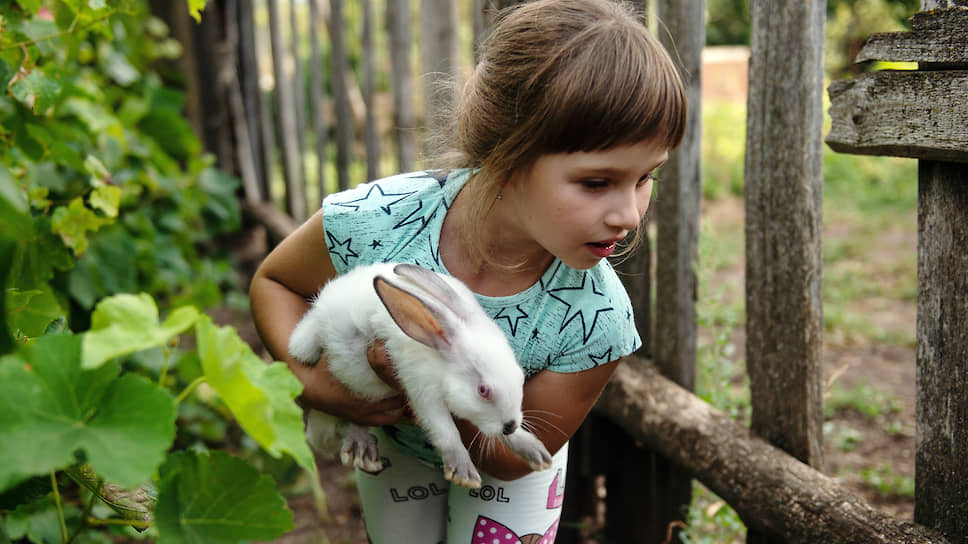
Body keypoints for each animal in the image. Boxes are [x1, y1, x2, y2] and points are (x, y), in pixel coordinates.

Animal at [288, 262, 552, 486]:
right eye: (483, 390)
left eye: (520, 377)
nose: (509, 425)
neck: (441, 359)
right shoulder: (421, 390)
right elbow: (446, 431)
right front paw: (463, 472)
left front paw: (534, 450)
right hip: (313, 355)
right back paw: (360, 447)